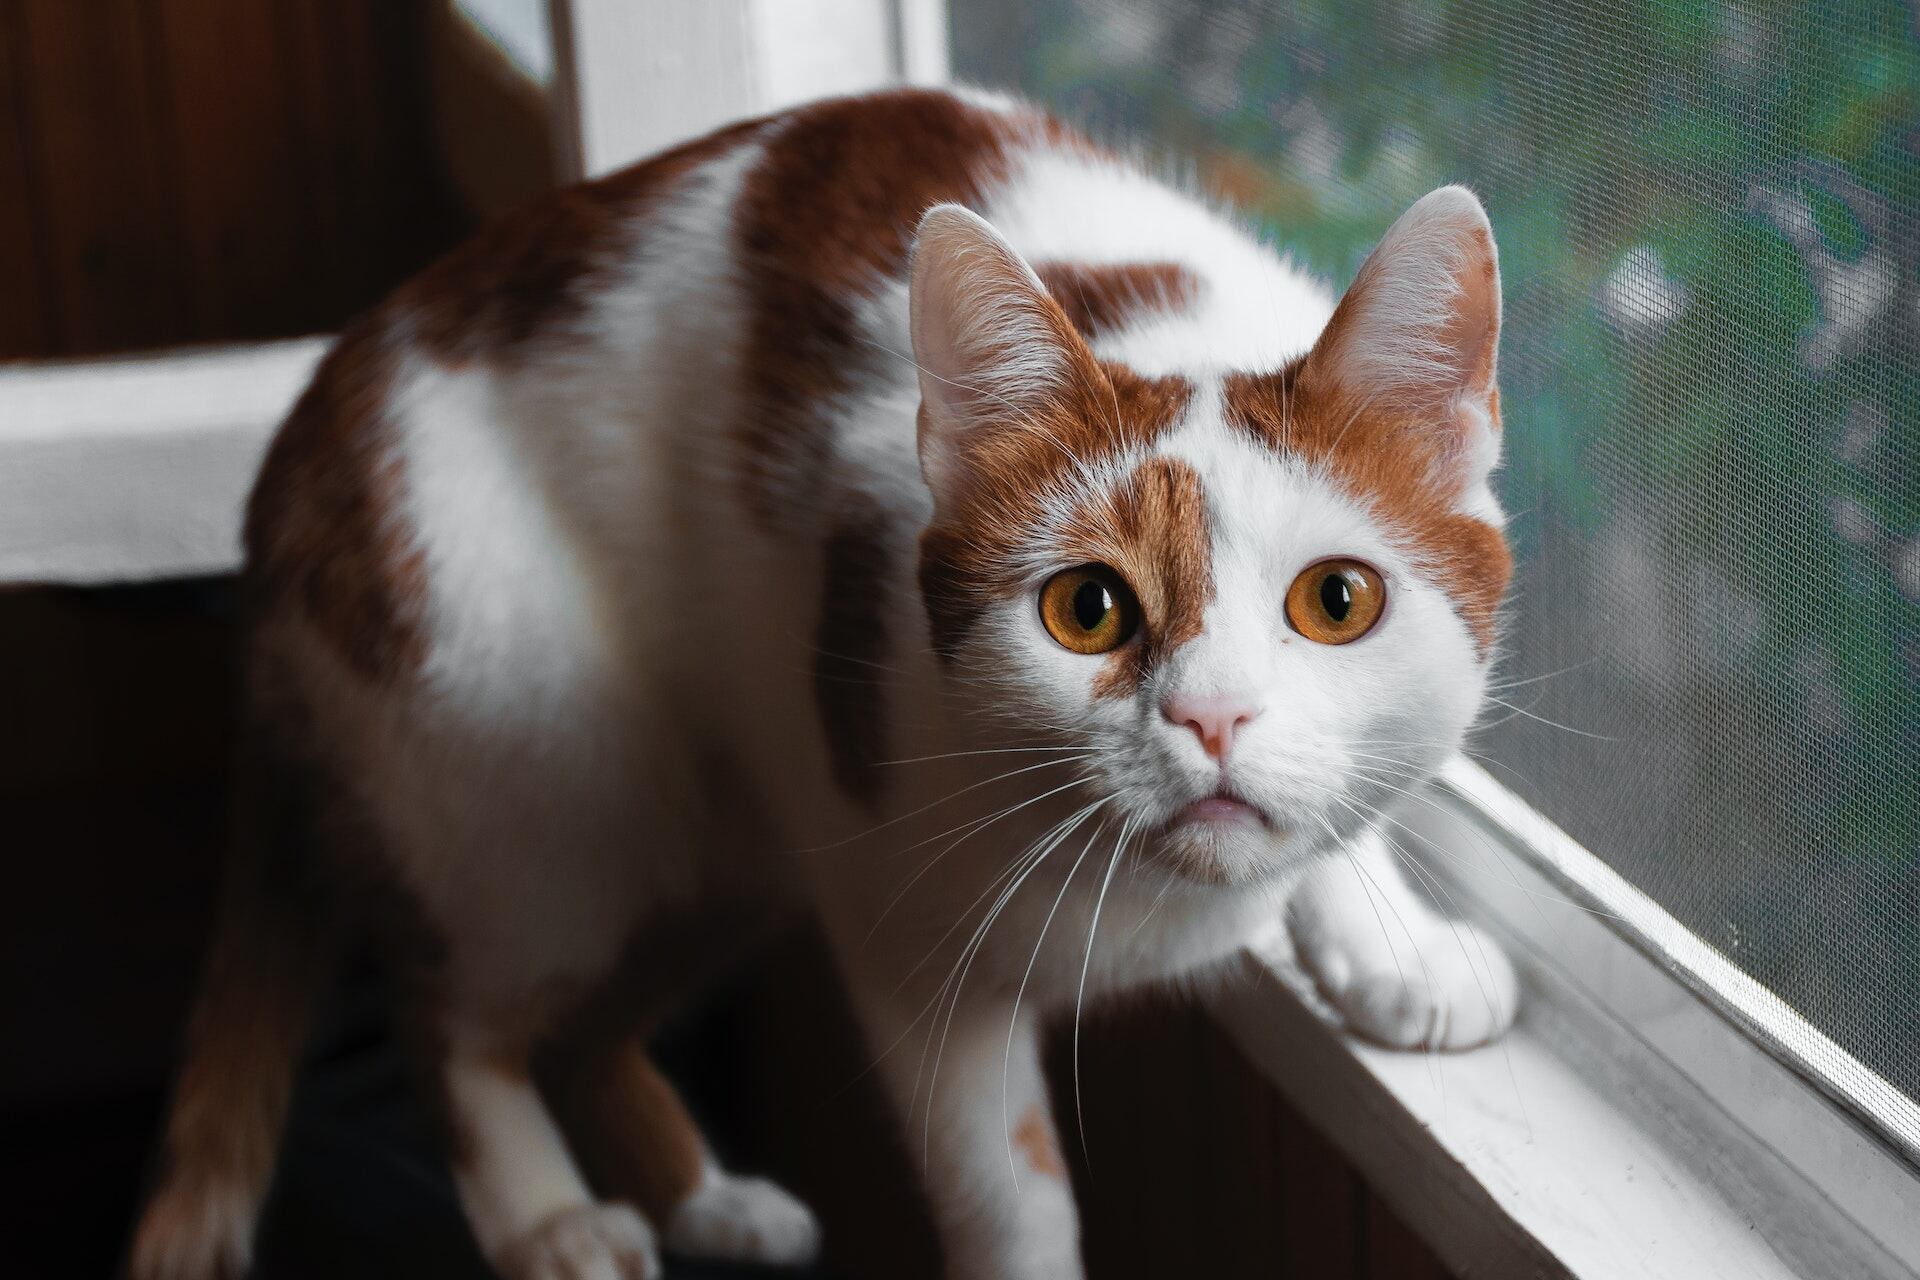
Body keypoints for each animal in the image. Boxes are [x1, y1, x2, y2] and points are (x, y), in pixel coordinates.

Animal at [131, 90, 1512, 1280]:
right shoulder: (904, 933)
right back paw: (548, 1219)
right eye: (1088, 609)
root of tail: (287, 459)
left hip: (714, 834)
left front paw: (1393, 946)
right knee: (452, 1016)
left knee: (582, 1031)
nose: (1211, 717)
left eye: (1337, 602)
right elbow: (1006, 1190)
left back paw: (706, 1198)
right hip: (529, 785)